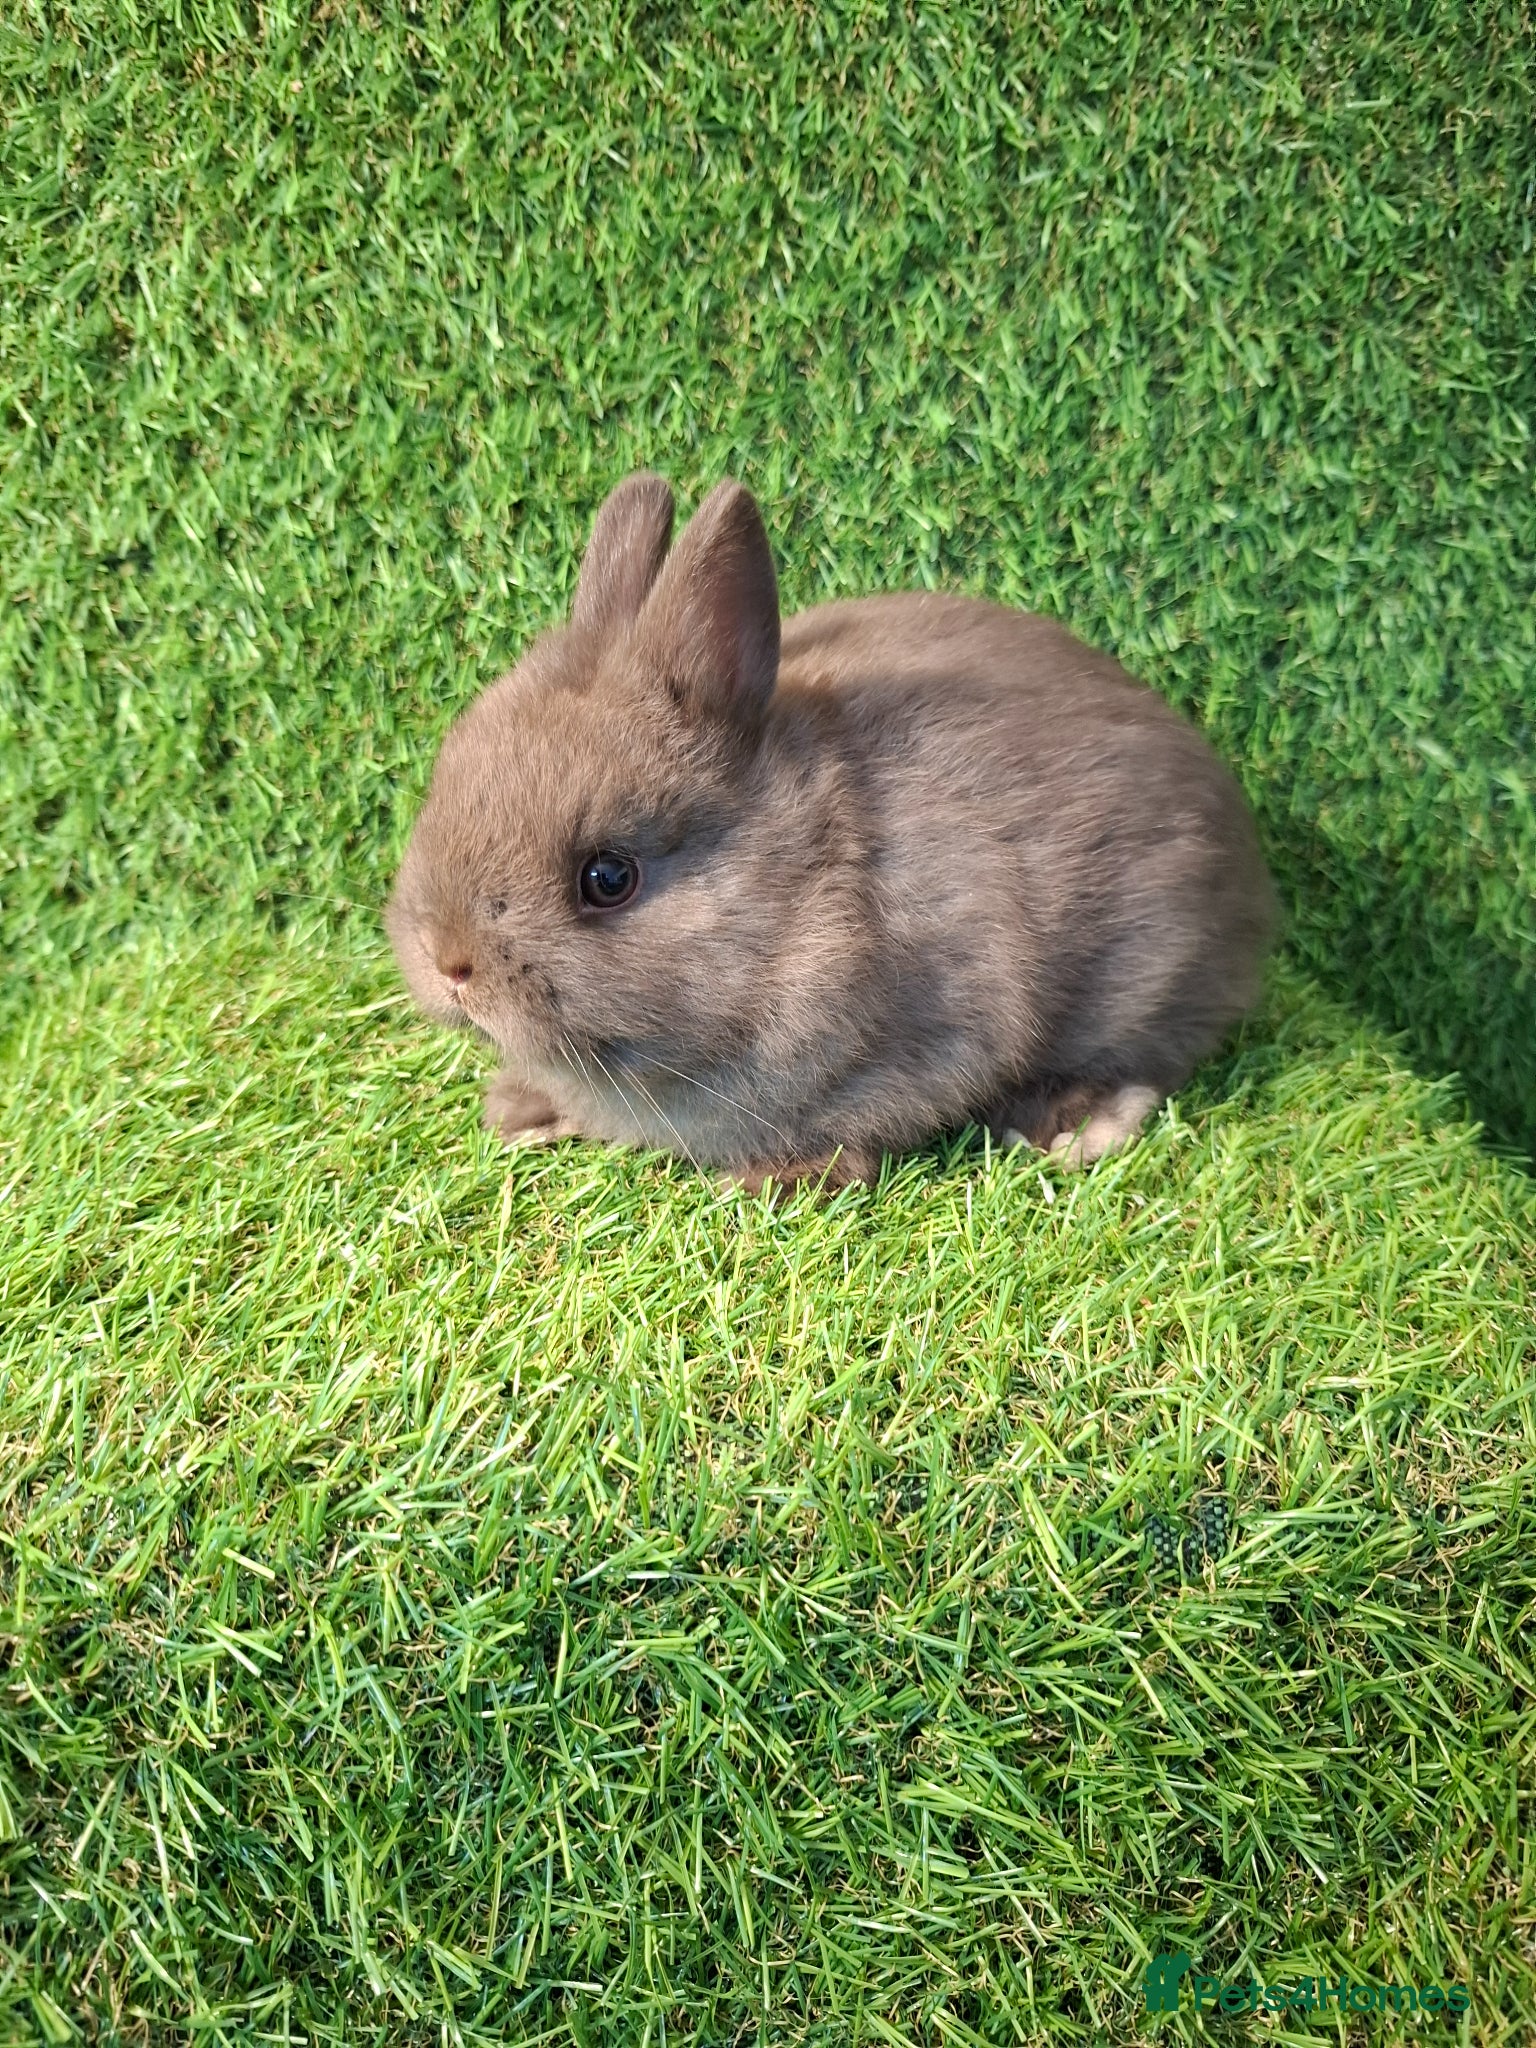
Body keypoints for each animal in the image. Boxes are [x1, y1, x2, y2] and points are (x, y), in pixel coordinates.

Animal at [385, 471, 1277, 1191]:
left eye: (608, 878)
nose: (448, 961)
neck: (797, 895)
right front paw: (522, 1110)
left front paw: (774, 1180)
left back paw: (1073, 1122)